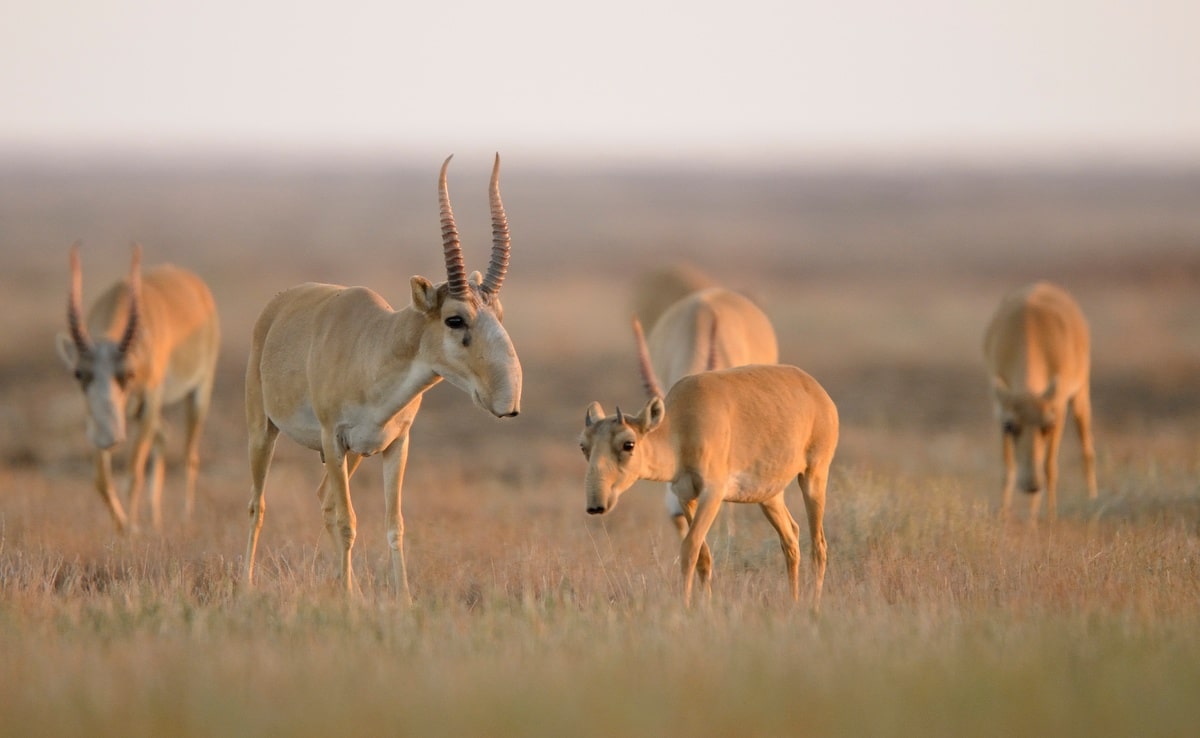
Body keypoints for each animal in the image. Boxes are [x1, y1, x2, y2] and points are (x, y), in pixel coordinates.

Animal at [56, 246, 220, 535]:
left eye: (129, 374)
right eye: (78, 373)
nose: (109, 437)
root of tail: (195, 285)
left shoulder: (149, 403)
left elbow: (134, 473)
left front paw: (132, 530)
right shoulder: (95, 418)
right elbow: (101, 479)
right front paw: (123, 528)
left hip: (198, 393)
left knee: (190, 455)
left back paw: (185, 517)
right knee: (164, 435)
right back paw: (156, 519)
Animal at [242, 153, 520, 597]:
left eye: (499, 313)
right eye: (454, 318)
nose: (508, 401)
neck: (374, 347)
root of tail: (278, 305)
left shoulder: (396, 446)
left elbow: (394, 525)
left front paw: (400, 599)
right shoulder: (333, 439)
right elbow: (348, 521)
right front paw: (350, 600)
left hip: (352, 455)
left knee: (324, 499)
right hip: (264, 431)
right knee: (258, 504)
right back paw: (246, 584)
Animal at [578, 324, 835, 612]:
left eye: (628, 444)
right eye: (583, 446)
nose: (596, 505)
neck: (681, 426)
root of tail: (817, 391)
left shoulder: (712, 494)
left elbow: (689, 548)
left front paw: (686, 605)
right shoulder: (685, 496)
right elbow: (703, 555)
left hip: (814, 476)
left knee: (818, 544)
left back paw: (813, 604)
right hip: (769, 496)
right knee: (791, 538)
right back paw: (793, 600)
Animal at [984, 279, 1099, 523]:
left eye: (1048, 425)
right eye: (1010, 426)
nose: (1031, 485)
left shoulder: (1059, 408)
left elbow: (1049, 466)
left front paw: (1049, 516)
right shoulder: (1000, 409)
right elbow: (1007, 467)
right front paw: (1004, 515)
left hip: (1081, 394)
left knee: (1086, 449)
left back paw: (1092, 499)